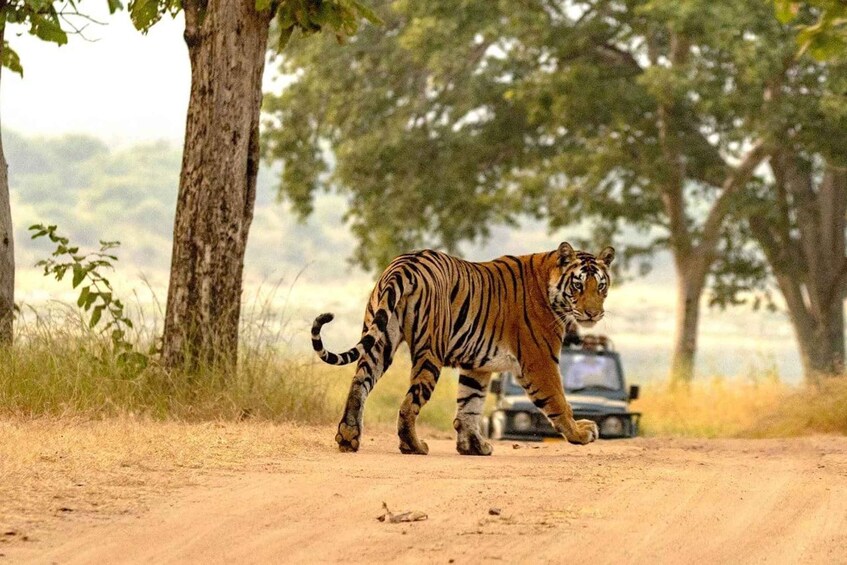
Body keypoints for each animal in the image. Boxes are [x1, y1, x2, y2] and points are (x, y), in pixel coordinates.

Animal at [311, 242, 615, 455]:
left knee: (358, 383)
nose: (593, 314)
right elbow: (559, 401)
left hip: (380, 339)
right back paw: (414, 446)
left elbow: (470, 403)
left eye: (601, 286)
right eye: (578, 285)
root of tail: (405, 264)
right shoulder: (539, 360)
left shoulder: (478, 364)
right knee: (409, 403)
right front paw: (580, 434)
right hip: (430, 351)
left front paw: (473, 446)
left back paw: (348, 437)